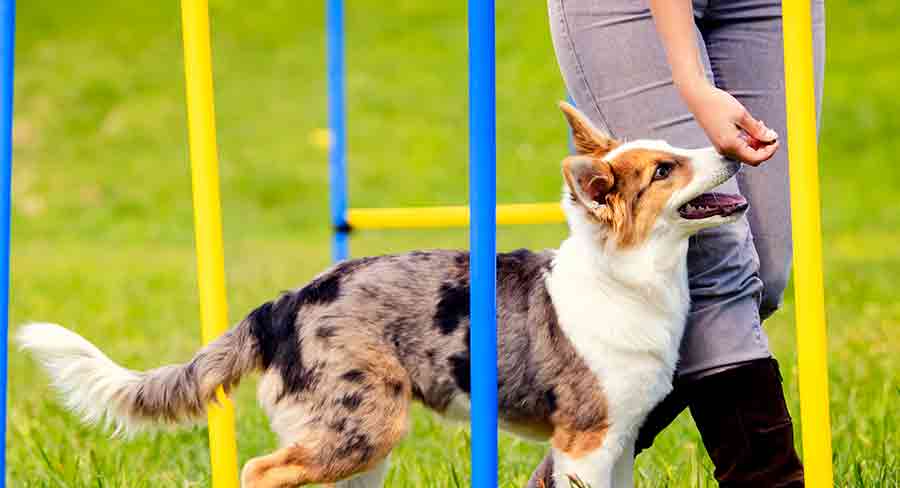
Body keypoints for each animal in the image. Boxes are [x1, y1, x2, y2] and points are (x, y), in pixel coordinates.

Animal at [21, 101, 748, 486]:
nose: (733, 145)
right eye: (664, 170)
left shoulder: (618, 441)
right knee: (260, 471)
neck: (627, 278)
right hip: (362, 427)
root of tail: (282, 304)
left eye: (671, 150)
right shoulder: (586, 440)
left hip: (359, 445)